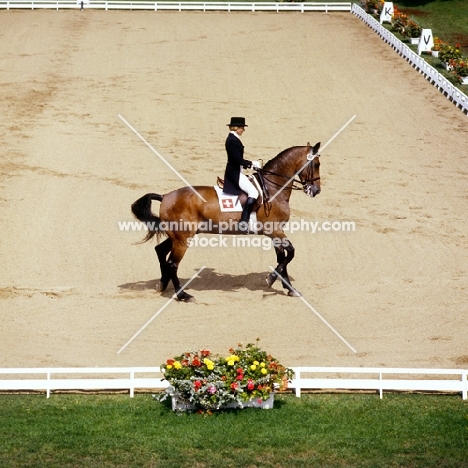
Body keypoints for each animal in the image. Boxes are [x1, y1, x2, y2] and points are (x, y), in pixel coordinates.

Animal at [132, 143, 322, 302]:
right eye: (317, 164)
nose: (316, 190)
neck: (273, 188)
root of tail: (165, 196)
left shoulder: (275, 234)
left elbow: (283, 259)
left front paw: (290, 289)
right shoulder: (274, 231)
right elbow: (290, 254)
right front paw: (270, 279)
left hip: (177, 236)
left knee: (160, 251)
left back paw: (162, 284)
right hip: (182, 239)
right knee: (172, 264)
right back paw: (183, 295)